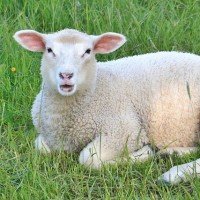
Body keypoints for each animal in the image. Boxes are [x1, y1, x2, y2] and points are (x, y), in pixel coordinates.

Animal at [14, 28, 200, 184]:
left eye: (87, 51)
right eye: (49, 50)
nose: (66, 75)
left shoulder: (125, 131)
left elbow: (88, 159)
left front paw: (143, 154)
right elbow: (40, 147)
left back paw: (174, 175)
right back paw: (171, 153)